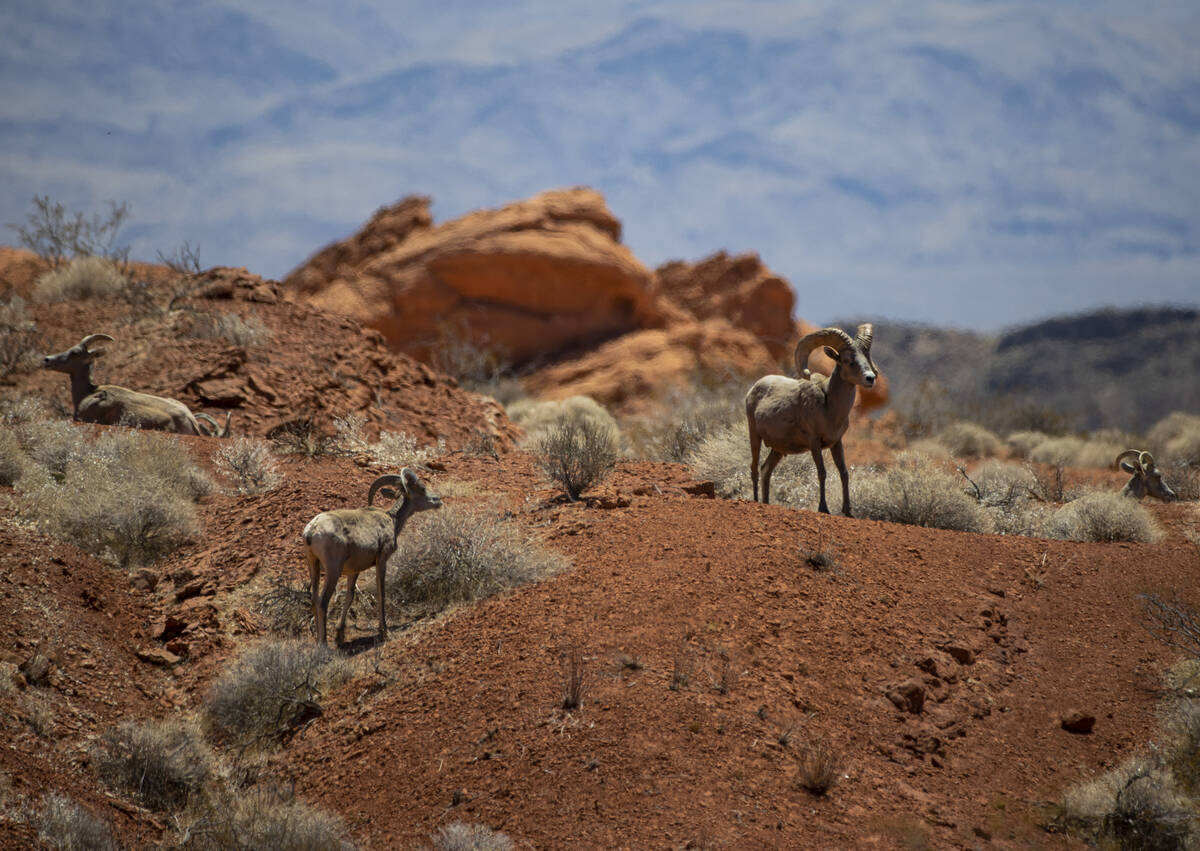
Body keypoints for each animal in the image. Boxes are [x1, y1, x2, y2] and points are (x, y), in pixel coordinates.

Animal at [302, 468, 442, 646]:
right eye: (422, 488)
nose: (438, 500)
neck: (392, 520)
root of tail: (312, 530)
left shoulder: (354, 571)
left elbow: (349, 597)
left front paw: (340, 636)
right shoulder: (381, 561)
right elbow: (381, 593)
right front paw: (384, 632)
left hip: (313, 565)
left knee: (314, 600)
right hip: (333, 570)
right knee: (322, 602)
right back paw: (324, 645)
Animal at [745, 324, 878, 515]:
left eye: (866, 357)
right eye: (848, 360)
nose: (870, 378)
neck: (829, 406)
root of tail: (753, 389)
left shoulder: (837, 443)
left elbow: (844, 473)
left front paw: (848, 511)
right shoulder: (814, 442)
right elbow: (822, 473)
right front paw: (823, 509)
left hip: (777, 449)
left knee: (765, 470)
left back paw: (766, 502)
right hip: (754, 436)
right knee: (755, 469)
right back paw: (756, 501)